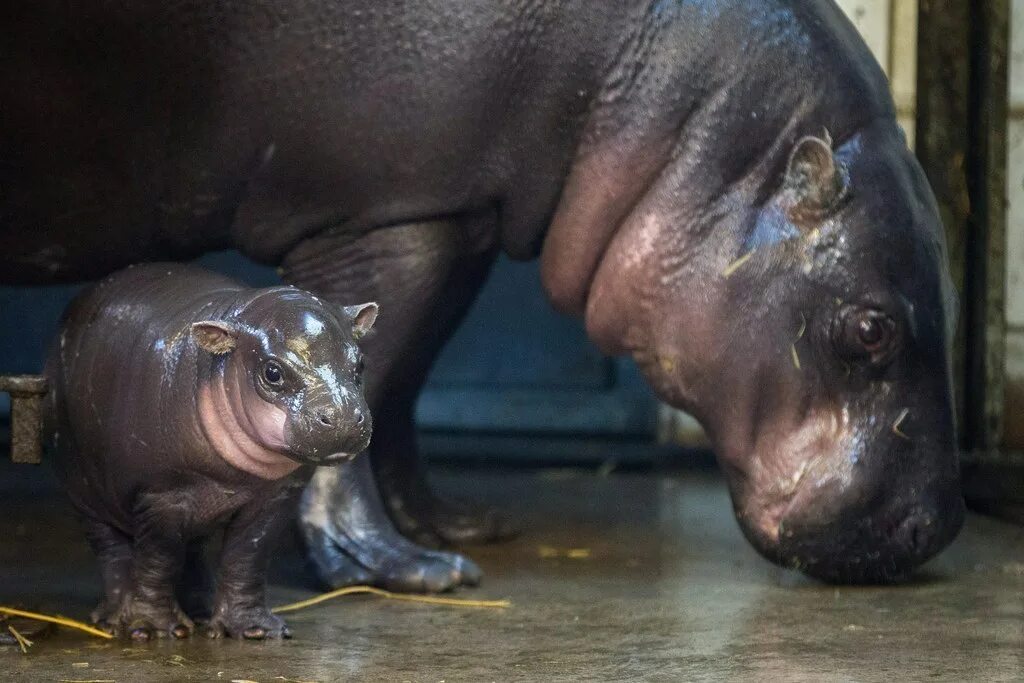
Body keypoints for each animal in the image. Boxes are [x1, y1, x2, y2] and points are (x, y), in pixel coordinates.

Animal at [4, 1, 962, 589]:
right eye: (870, 329)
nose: (938, 528)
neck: (697, 133)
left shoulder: (457, 218)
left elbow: (398, 376)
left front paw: (452, 526)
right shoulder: (389, 214)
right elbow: (365, 377)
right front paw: (402, 568)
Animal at [46, 264, 378, 643]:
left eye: (359, 364)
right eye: (272, 372)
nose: (342, 418)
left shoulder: (276, 496)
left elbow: (248, 555)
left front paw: (255, 630)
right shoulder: (161, 495)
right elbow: (158, 558)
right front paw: (153, 629)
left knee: (191, 551)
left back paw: (201, 613)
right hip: (84, 493)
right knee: (113, 552)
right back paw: (113, 620)